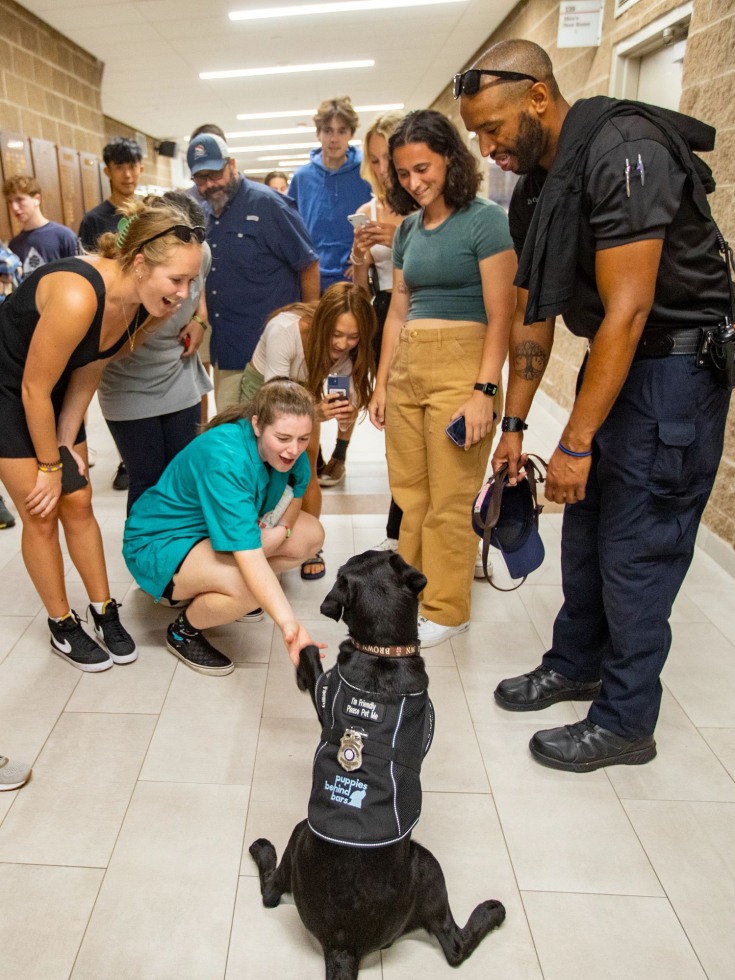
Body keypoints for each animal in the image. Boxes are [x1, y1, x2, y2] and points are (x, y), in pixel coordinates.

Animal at [250, 552, 504, 980]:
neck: (382, 651)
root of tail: (342, 947)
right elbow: (311, 660)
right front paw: (303, 646)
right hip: (424, 863)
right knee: (453, 946)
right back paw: (491, 911)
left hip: (305, 833)